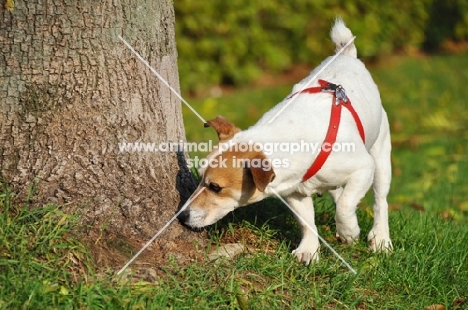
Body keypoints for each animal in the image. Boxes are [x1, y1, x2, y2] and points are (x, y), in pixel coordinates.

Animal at [181, 18, 394, 264]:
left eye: (215, 187)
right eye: (199, 178)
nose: (182, 216)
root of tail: (346, 55)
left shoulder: (362, 168)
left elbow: (345, 204)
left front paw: (349, 231)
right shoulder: (294, 191)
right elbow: (307, 222)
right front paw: (309, 250)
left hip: (380, 155)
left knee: (380, 200)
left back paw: (380, 238)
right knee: (337, 191)